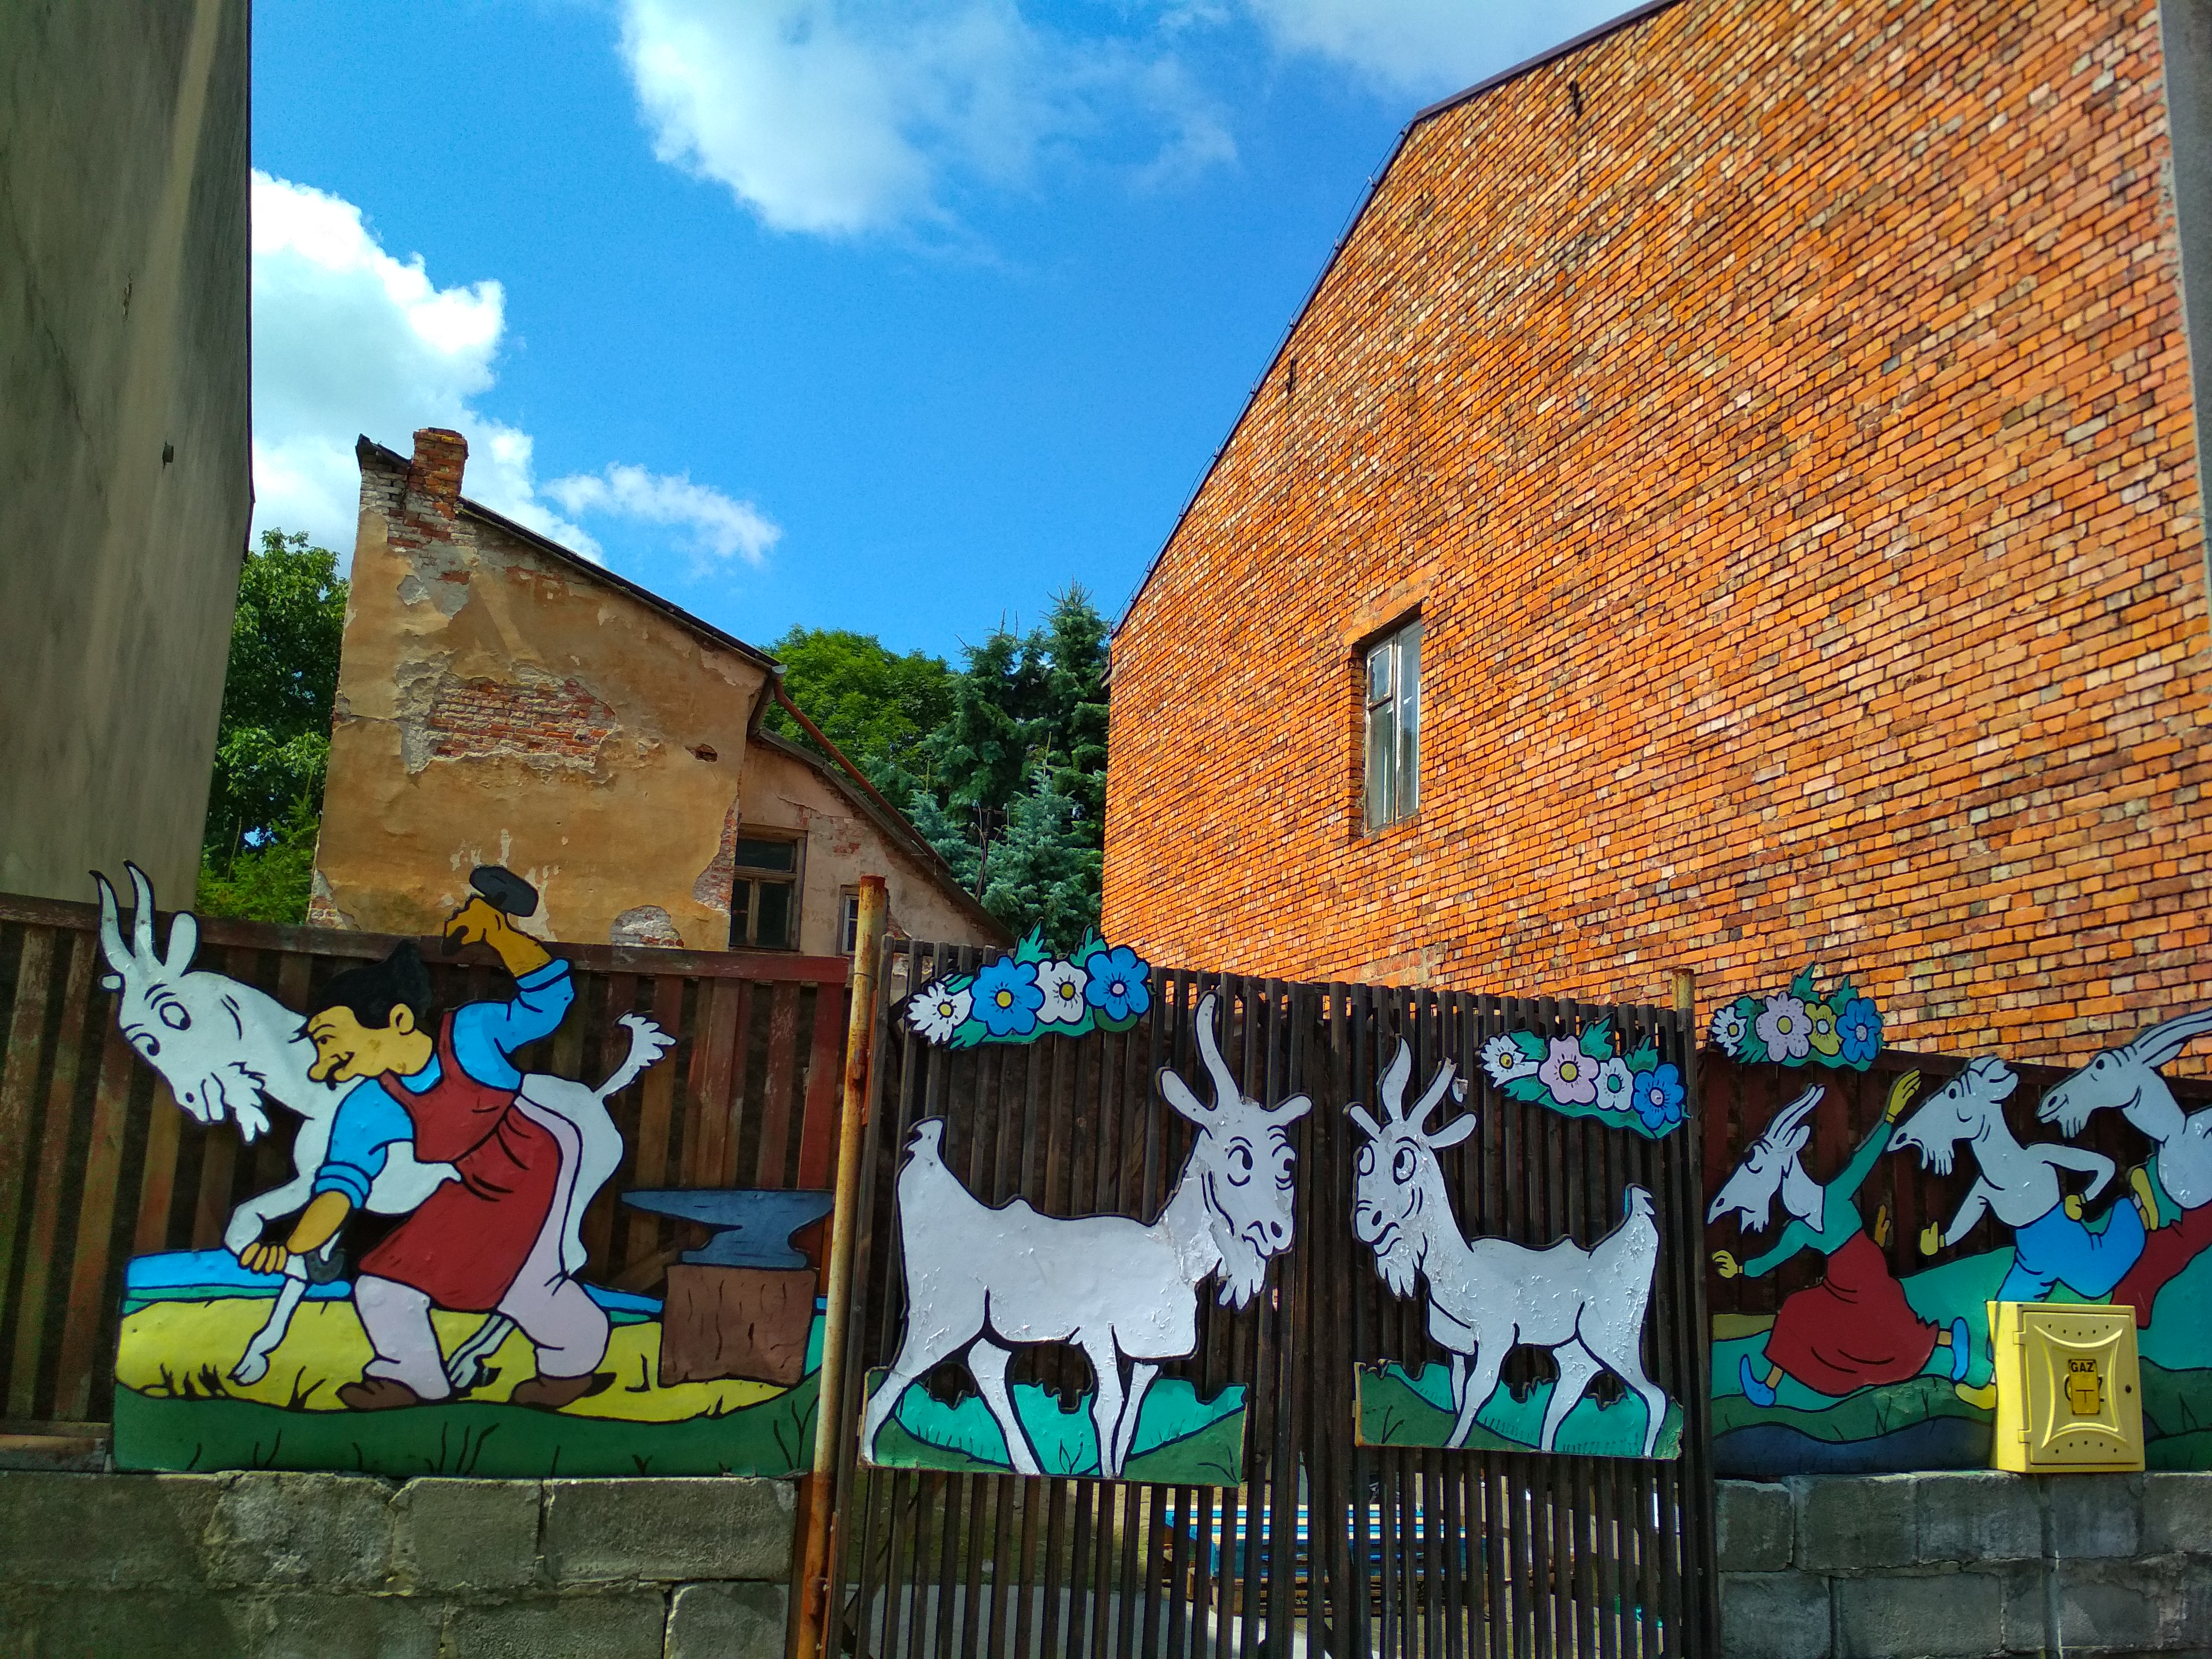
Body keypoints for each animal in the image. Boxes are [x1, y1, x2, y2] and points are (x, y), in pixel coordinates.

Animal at [859, 992, 1310, 1479]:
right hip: (940, 1315)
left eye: (1287, 1163)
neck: (1170, 1254)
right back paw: (870, 1456)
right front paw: (1105, 1475)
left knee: (987, 1368)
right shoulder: (1095, 1332)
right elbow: (1107, 1407)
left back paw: (1029, 1466)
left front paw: (1114, 1474)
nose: (1278, 1234)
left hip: (991, 1331)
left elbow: (1131, 1419)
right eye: (1240, 1159)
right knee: (897, 1377)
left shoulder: (1148, 1352)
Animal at [1348, 1039, 1670, 1457]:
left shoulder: (1497, 1338)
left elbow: (1477, 1394)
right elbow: (1458, 1393)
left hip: (1614, 1338)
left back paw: (1649, 1455)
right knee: (1567, 1395)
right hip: (1575, 1351)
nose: (1365, 1222)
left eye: (1404, 1160)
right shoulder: (1457, 1347)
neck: (1461, 1270)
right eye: (1365, 1157)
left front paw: (1452, 1445)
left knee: (1655, 1394)